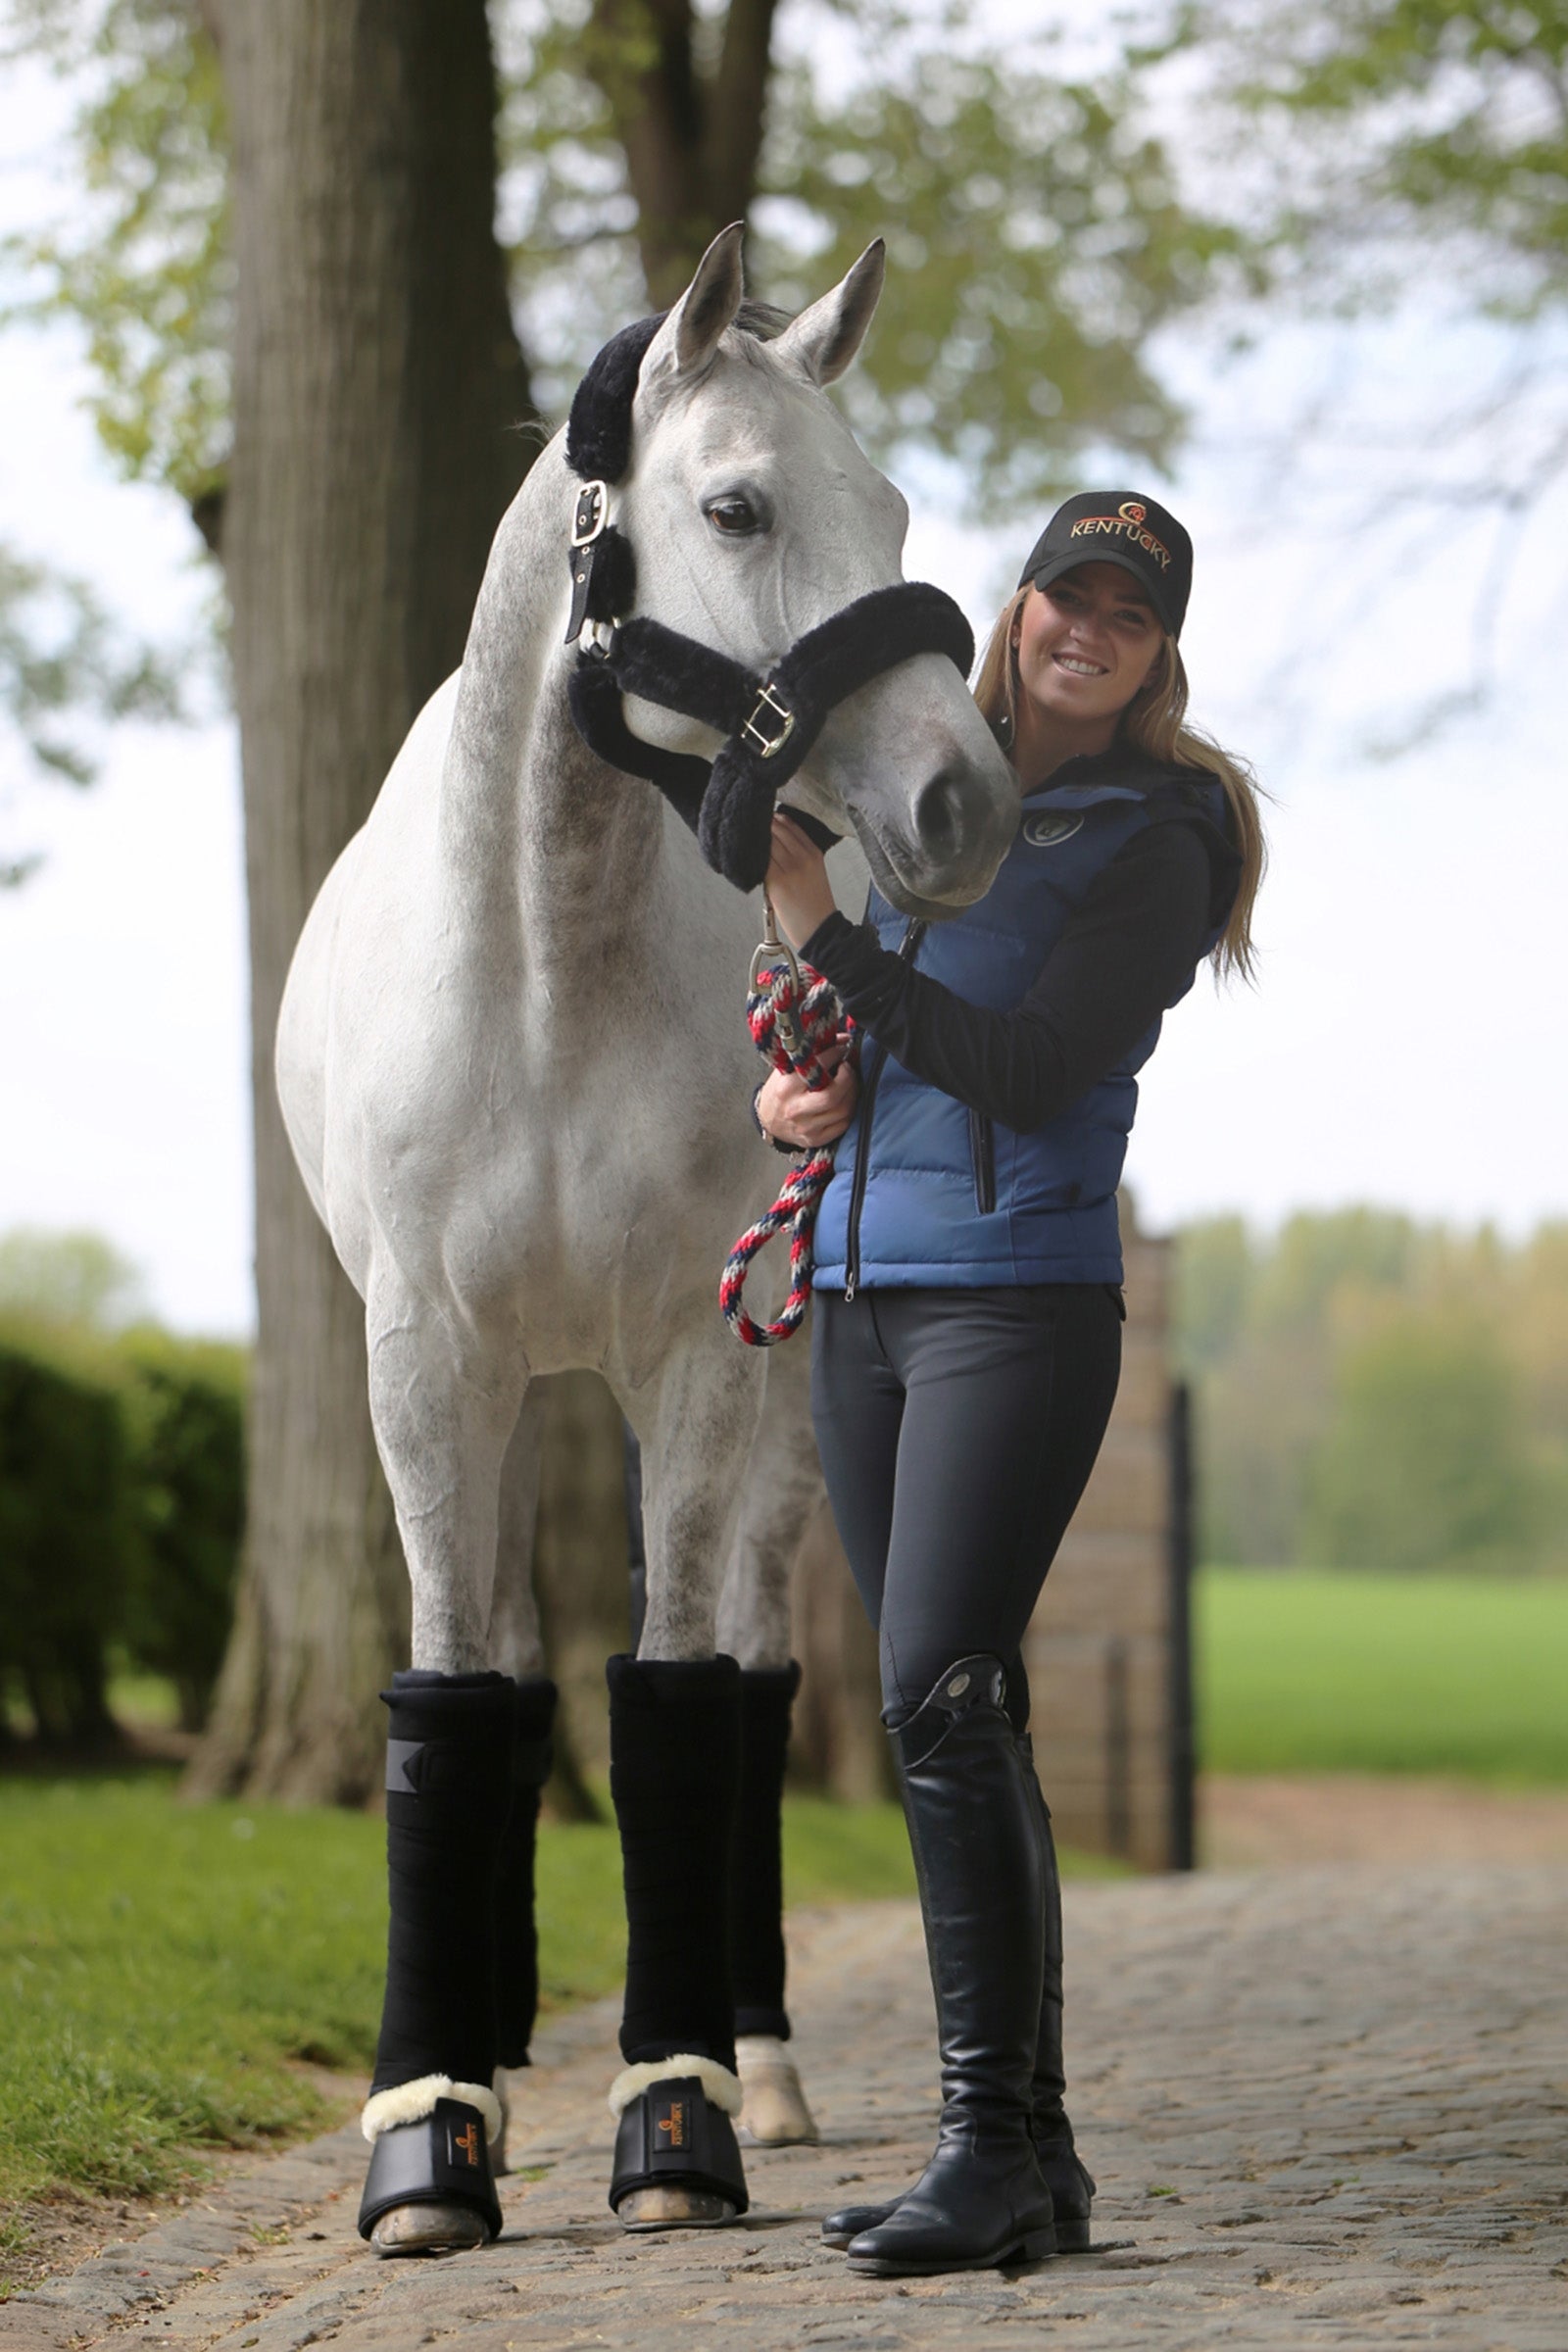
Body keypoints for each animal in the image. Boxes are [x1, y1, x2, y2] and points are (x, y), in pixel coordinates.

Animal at [274, 222, 1019, 2256]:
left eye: (894, 501)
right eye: (736, 505)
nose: (967, 802)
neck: (541, 974)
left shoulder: (694, 1355)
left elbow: (678, 1697)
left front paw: (675, 2116)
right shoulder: (429, 1362)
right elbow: (460, 1689)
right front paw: (430, 2128)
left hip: (772, 1422)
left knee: (750, 1678)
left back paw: (760, 2065)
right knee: (520, 1659)